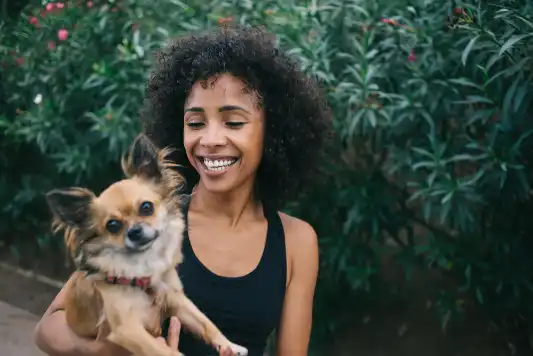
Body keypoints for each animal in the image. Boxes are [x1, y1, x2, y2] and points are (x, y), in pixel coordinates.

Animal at [44, 134, 248, 356]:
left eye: (146, 207)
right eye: (112, 225)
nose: (134, 231)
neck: (143, 265)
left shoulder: (176, 300)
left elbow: (205, 322)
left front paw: (229, 344)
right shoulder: (127, 330)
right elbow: (164, 351)